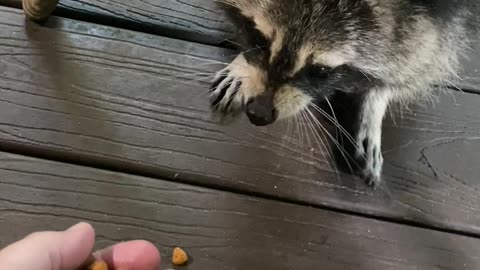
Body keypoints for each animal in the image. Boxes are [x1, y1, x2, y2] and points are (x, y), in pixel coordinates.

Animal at [210, 0, 480, 186]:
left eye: (320, 70)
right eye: (260, 40)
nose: (259, 113)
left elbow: (428, 53)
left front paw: (376, 98)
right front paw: (243, 64)